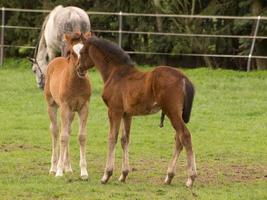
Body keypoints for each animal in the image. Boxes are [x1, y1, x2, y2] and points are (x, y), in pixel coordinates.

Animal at [43, 32, 91, 179]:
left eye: (86, 50)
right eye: (71, 52)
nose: (81, 69)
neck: (76, 83)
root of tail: (55, 59)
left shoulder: (84, 107)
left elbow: (81, 136)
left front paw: (84, 172)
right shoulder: (65, 107)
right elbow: (63, 137)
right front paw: (59, 171)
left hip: (72, 113)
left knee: (68, 131)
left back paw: (68, 167)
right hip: (52, 105)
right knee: (55, 131)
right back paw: (53, 168)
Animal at [78, 34, 198, 186]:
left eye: (81, 52)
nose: (78, 68)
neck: (115, 73)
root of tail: (183, 78)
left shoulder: (114, 111)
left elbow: (112, 138)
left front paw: (106, 175)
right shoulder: (127, 114)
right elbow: (124, 139)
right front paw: (123, 174)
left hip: (172, 112)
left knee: (185, 136)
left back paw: (190, 178)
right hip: (176, 113)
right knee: (178, 139)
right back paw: (169, 176)